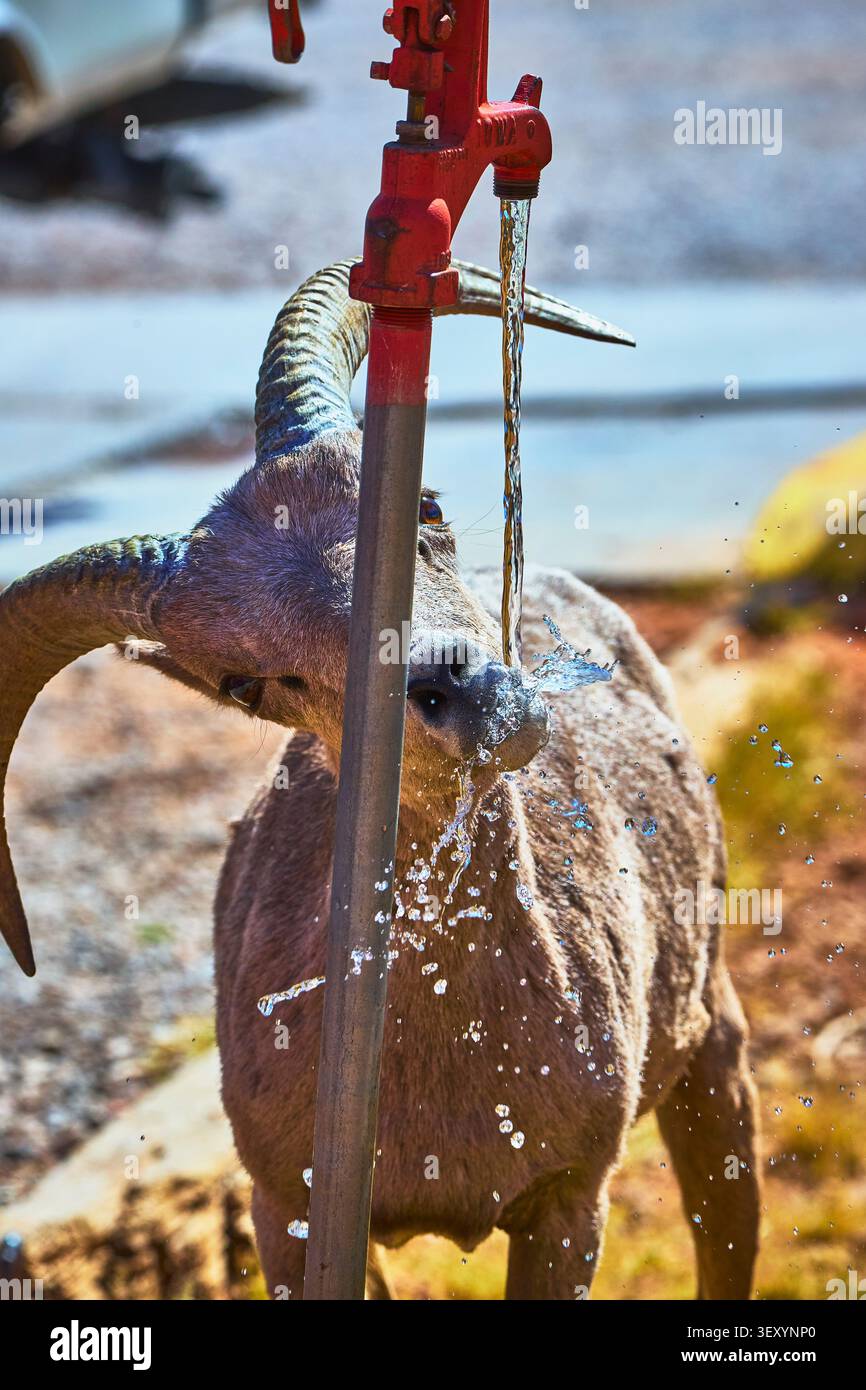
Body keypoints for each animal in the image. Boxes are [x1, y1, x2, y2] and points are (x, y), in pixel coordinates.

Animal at [0, 260, 760, 1300]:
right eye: (246, 680)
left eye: (425, 506)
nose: (461, 690)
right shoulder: (291, 1214)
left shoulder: (571, 1197)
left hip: (710, 1036)